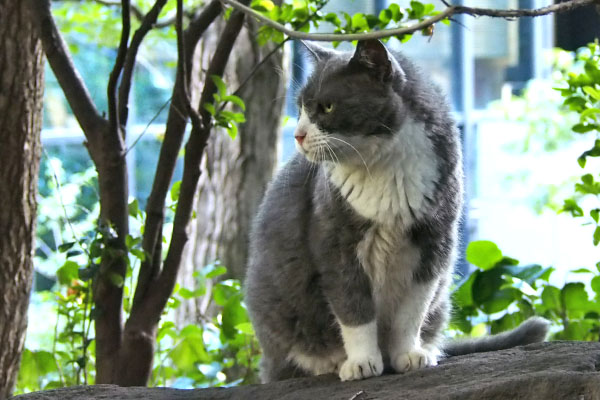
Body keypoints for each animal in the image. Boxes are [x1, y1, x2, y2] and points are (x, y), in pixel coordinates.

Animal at [244, 39, 548, 382]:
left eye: (327, 107)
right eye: (300, 108)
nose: (298, 135)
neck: (383, 166)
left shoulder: (434, 242)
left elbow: (412, 309)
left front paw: (409, 354)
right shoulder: (335, 243)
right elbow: (353, 307)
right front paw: (361, 361)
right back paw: (333, 362)